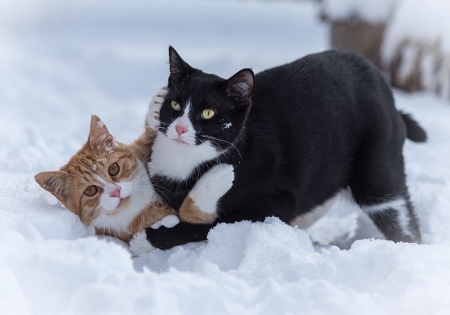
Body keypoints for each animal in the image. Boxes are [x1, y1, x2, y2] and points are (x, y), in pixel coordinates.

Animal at [145, 47, 428, 249]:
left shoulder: (273, 204)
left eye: (207, 112)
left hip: (377, 172)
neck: (186, 162)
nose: (181, 129)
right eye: (174, 105)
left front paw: (160, 235)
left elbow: (211, 224)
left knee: (399, 219)